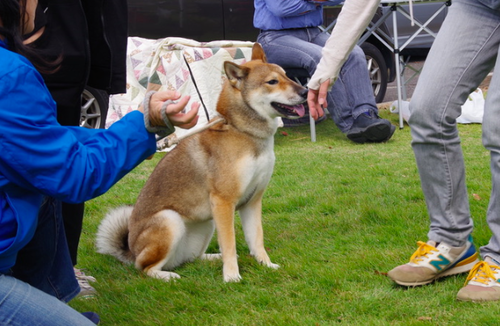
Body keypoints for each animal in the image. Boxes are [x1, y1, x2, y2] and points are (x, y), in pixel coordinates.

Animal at [93, 43, 304, 282]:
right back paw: (167, 276)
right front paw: (231, 276)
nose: (305, 92)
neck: (241, 131)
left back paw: (212, 257)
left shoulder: (252, 201)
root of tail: (131, 251)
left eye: (286, 75)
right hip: (170, 220)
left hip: (207, 223)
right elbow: (229, 242)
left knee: (191, 258)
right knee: (145, 268)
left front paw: (266, 265)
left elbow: (256, 239)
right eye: (272, 82)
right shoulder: (224, 202)